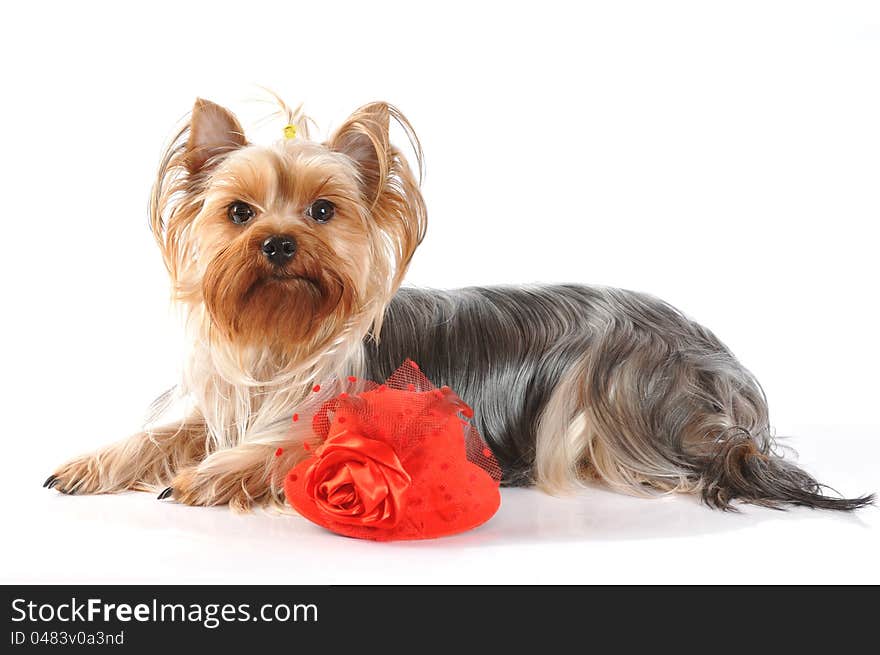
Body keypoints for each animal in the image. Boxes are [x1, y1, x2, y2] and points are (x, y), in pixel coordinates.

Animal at [46, 96, 872, 512]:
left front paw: (210, 476)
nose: (278, 244)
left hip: (609, 380)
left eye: (322, 211)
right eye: (239, 213)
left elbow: (289, 445)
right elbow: (167, 431)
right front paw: (90, 464)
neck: (285, 336)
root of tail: (722, 361)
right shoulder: (236, 392)